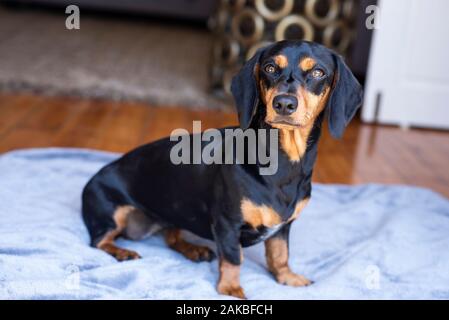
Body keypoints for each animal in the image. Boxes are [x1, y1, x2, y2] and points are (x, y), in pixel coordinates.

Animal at [81, 40, 360, 300]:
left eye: (318, 72)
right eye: (270, 68)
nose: (283, 103)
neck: (283, 164)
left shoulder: (283, 228)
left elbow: (280, 255)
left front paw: (288, 278)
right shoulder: (228, 224)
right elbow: (234, 259)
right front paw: (230, 289)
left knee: (171, 237)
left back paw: (193, 249)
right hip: (112, 214)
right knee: (98, 241)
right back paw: (123, 252)